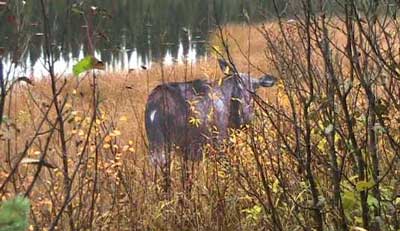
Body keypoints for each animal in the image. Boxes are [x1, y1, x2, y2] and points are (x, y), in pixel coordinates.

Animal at [145, 59, 276, 166]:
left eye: (255, 89)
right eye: (238, 85)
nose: (246, 115)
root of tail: (154, 107)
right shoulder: (220, 142)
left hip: (157, 149)